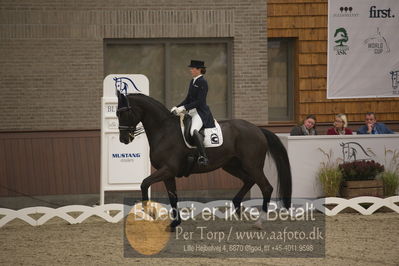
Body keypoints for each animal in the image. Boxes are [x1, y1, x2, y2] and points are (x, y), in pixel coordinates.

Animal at [117, 92, 292, 230]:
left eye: (124, 113)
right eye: (117, 114)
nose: (124, 139)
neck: (163, 130)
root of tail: (258, 129)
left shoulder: (168, 169)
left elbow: (144, 183)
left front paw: (150, 212)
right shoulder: (168, 173)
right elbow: (173, 197)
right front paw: (174, 223)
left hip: (252, 165)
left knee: (266, 187)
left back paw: (259, 221)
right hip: (231, 165)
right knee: (249, 180)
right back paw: (237, 207)